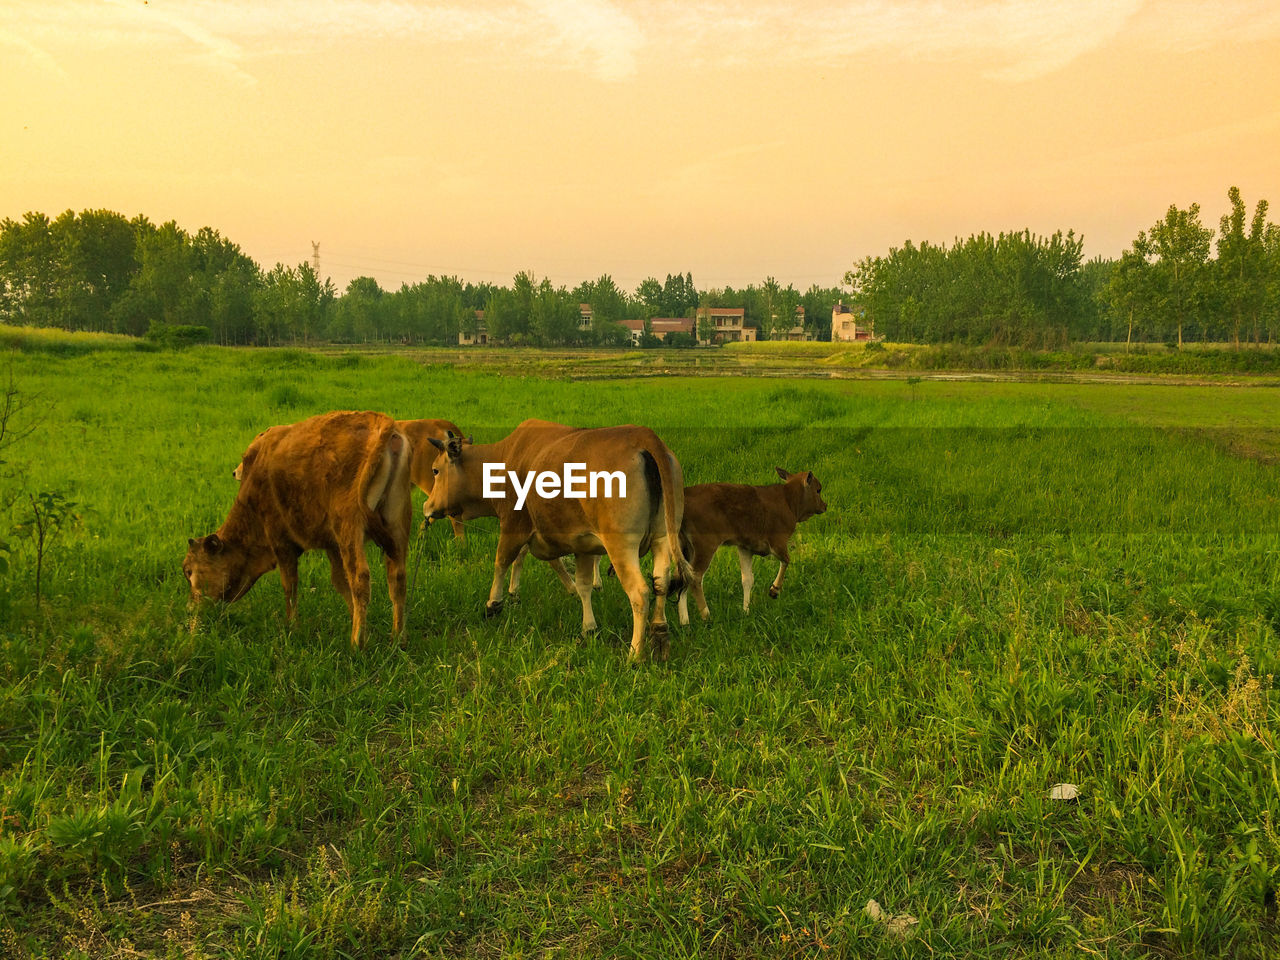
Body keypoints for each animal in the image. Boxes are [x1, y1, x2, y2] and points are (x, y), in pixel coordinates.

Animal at [183, 409, 412, 650]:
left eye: (189, 571)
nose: (190, 609)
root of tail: (383, 423)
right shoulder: (332, 545)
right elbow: (340, 582)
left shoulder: (281, 541)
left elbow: (290, 585)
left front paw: (292, 627)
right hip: (397, 523)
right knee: (397, 577)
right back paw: (398, 638)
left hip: (349, 527)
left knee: (360, 578)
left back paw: (356, 643)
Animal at [424, 419, 696, 660]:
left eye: (436, 470)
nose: (427, 507)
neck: (503, 460)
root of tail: (643, 436)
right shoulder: (582, 544)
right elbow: (581, 583)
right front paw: (588, 626)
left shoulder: (514, 525)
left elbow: (502, 561)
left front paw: (494, 603)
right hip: (663, 538)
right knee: (661, 582)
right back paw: (660, 635)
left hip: (621, 546)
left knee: (639, 593)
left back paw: (635, 654)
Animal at [680, 471, 829, 627]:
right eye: (818, 489)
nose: (825, 505)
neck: (788, 501)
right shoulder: (777, 543)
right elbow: (786, 560)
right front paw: (774, 590)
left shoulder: (745, 547)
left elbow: (747, 579)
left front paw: (746, 611)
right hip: (705, 546)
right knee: (695, 577)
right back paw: (706, 615)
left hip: (686, 547)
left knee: (682, 577)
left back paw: (684, 621)